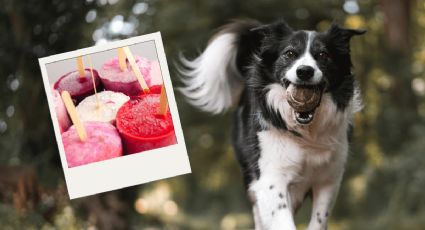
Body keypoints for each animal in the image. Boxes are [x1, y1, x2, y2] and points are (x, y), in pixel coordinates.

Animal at [179, 18, 364, 229]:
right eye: (289, 53)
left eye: (323, 55)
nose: (305, 71)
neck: (306, 131)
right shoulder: (271, 177)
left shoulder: (328, 179)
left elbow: (318, 219)